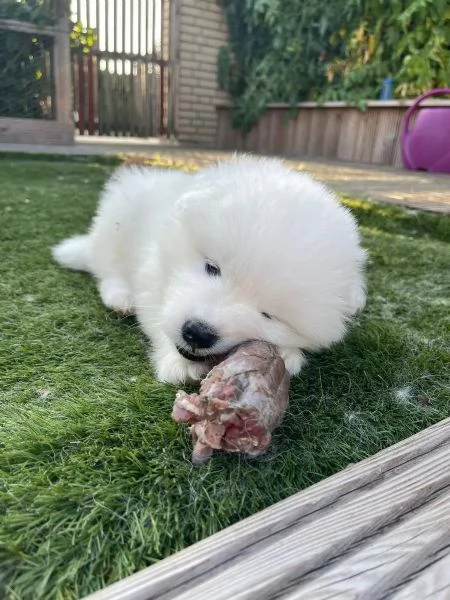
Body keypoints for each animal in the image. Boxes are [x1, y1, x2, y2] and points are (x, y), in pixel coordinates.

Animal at [51, 156, 366, 384]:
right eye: (212, 267)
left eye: (269, 315)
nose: (198, 333)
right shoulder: (152, 270)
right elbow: (156, 315)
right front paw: (176, 362)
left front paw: (288, 354)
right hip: (115, 225)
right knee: (106, 267)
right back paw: (119, 295)